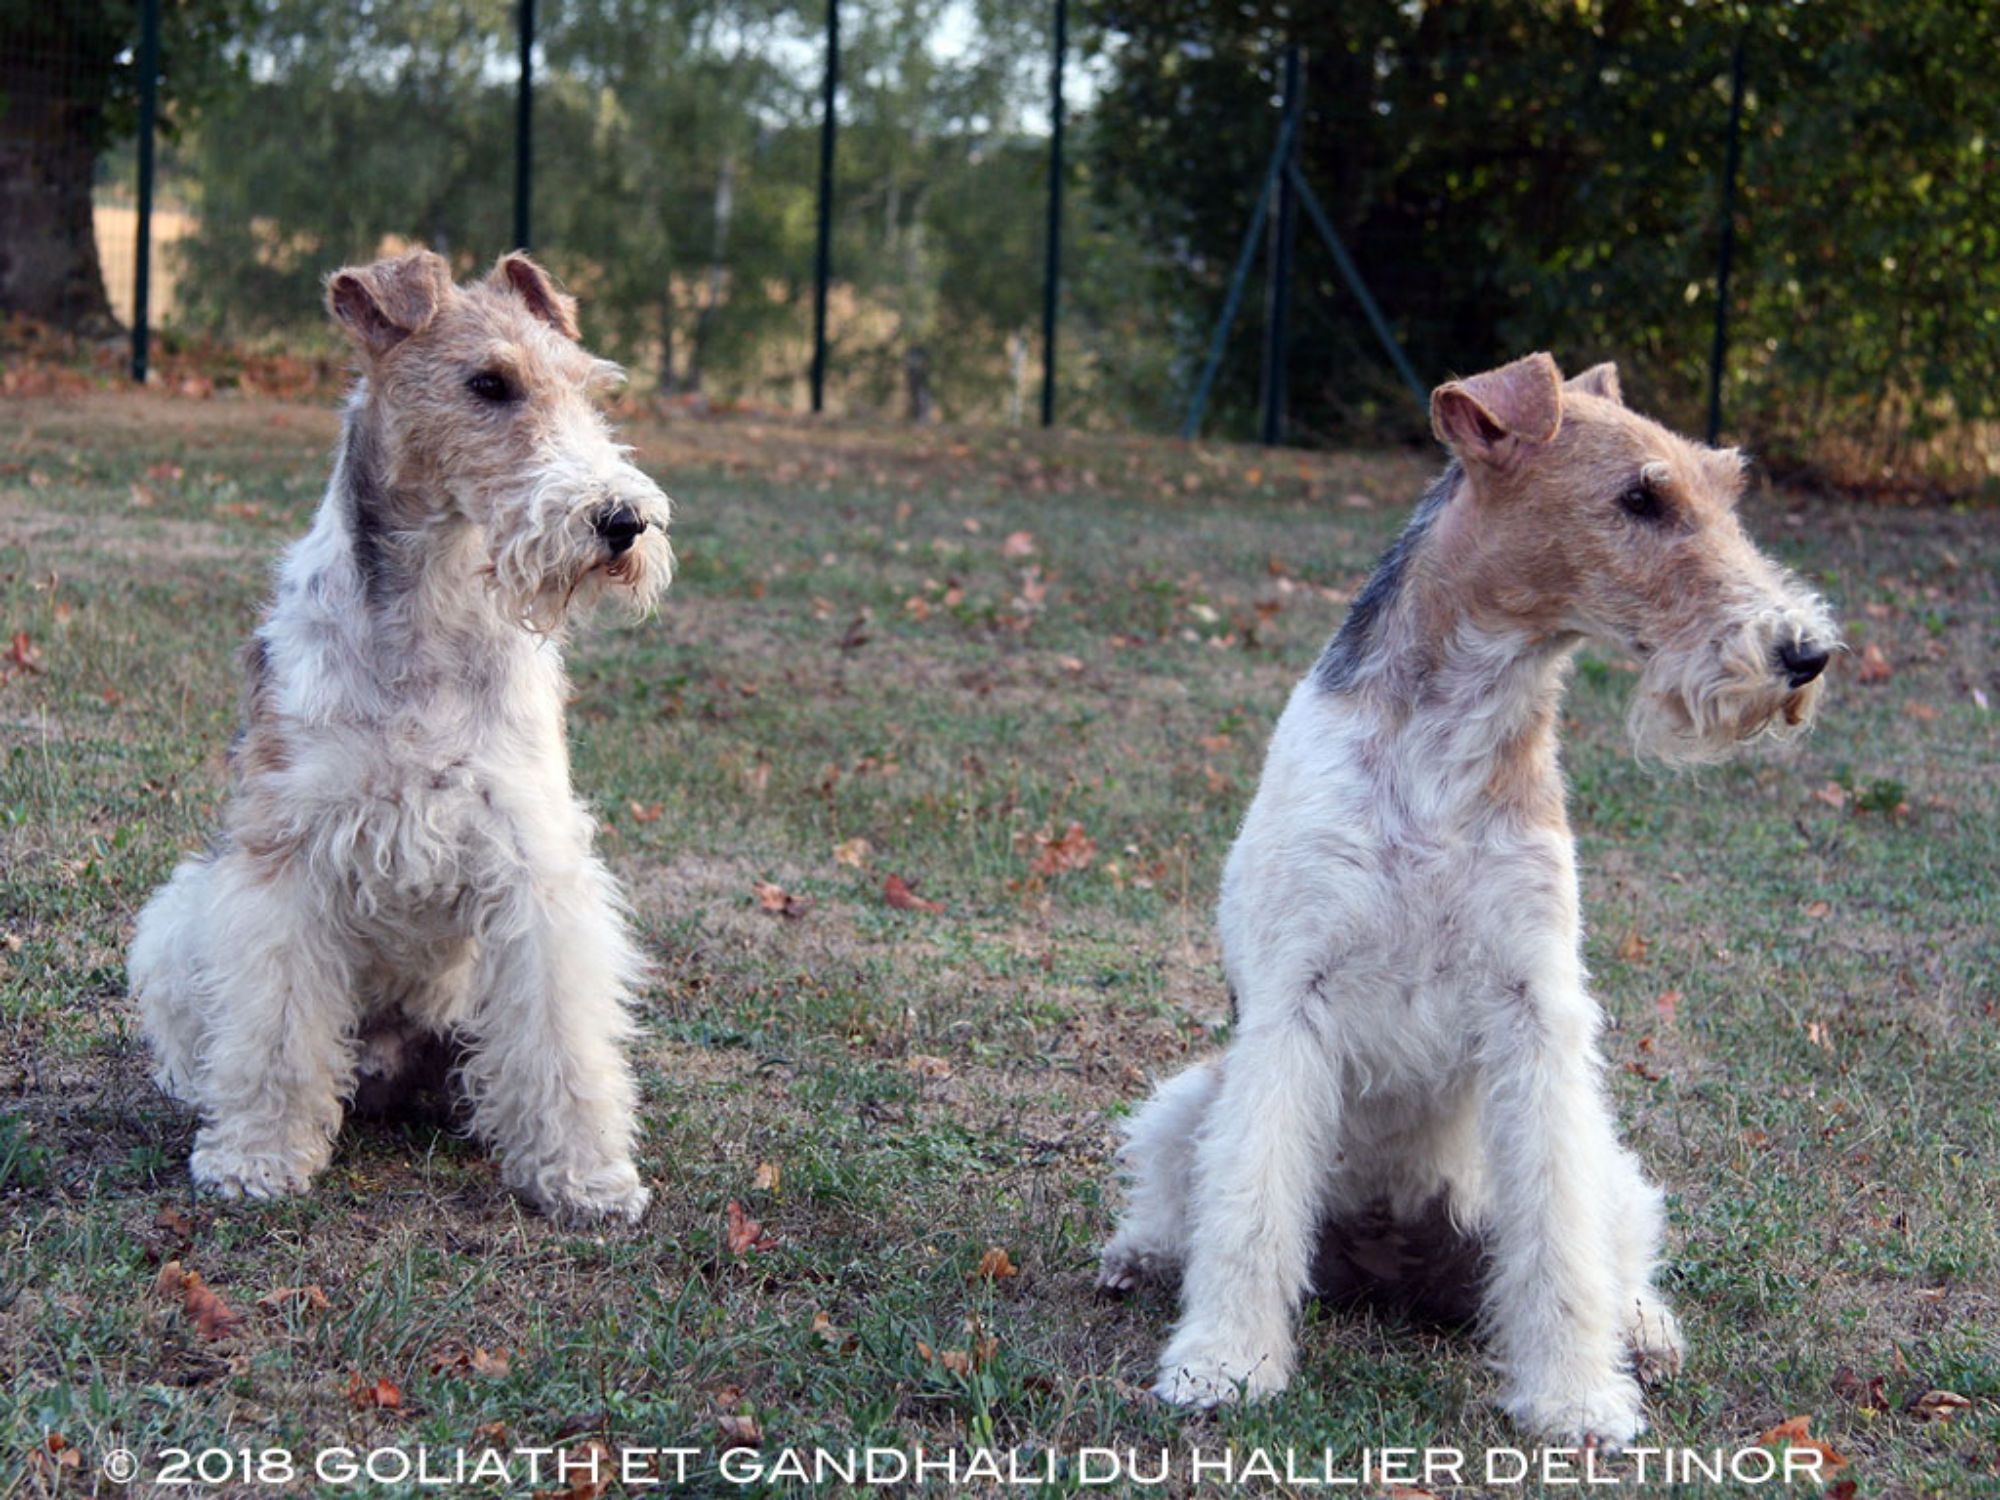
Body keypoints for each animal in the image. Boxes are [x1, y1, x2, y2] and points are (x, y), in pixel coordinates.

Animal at [129, 249, 673, 1224]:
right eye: (489, 383)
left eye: (587, 387)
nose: (621, 522)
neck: (433, 608)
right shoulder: (286, 852)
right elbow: (274, 1026)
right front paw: (258, 1158)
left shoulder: (534, 859)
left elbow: (561, 1036)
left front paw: (585, 1176)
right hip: (182, 914)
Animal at [1098, 352, 1837, 1445]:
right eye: (1640, 499)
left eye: (1720, 488)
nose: (1803, 654)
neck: (1449, 738)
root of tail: (1391, 1256)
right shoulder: (1293, 998)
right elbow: (1248, 1208)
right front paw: (1224, 1364)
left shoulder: (1536, 1008)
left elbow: (1560, 1237)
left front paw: (1576, 1397)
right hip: (1194, 1094)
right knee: (1174, 1189)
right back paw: (1137, 1256)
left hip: (1604, 1163)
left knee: (1612, 1248)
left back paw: (1643, 1333)